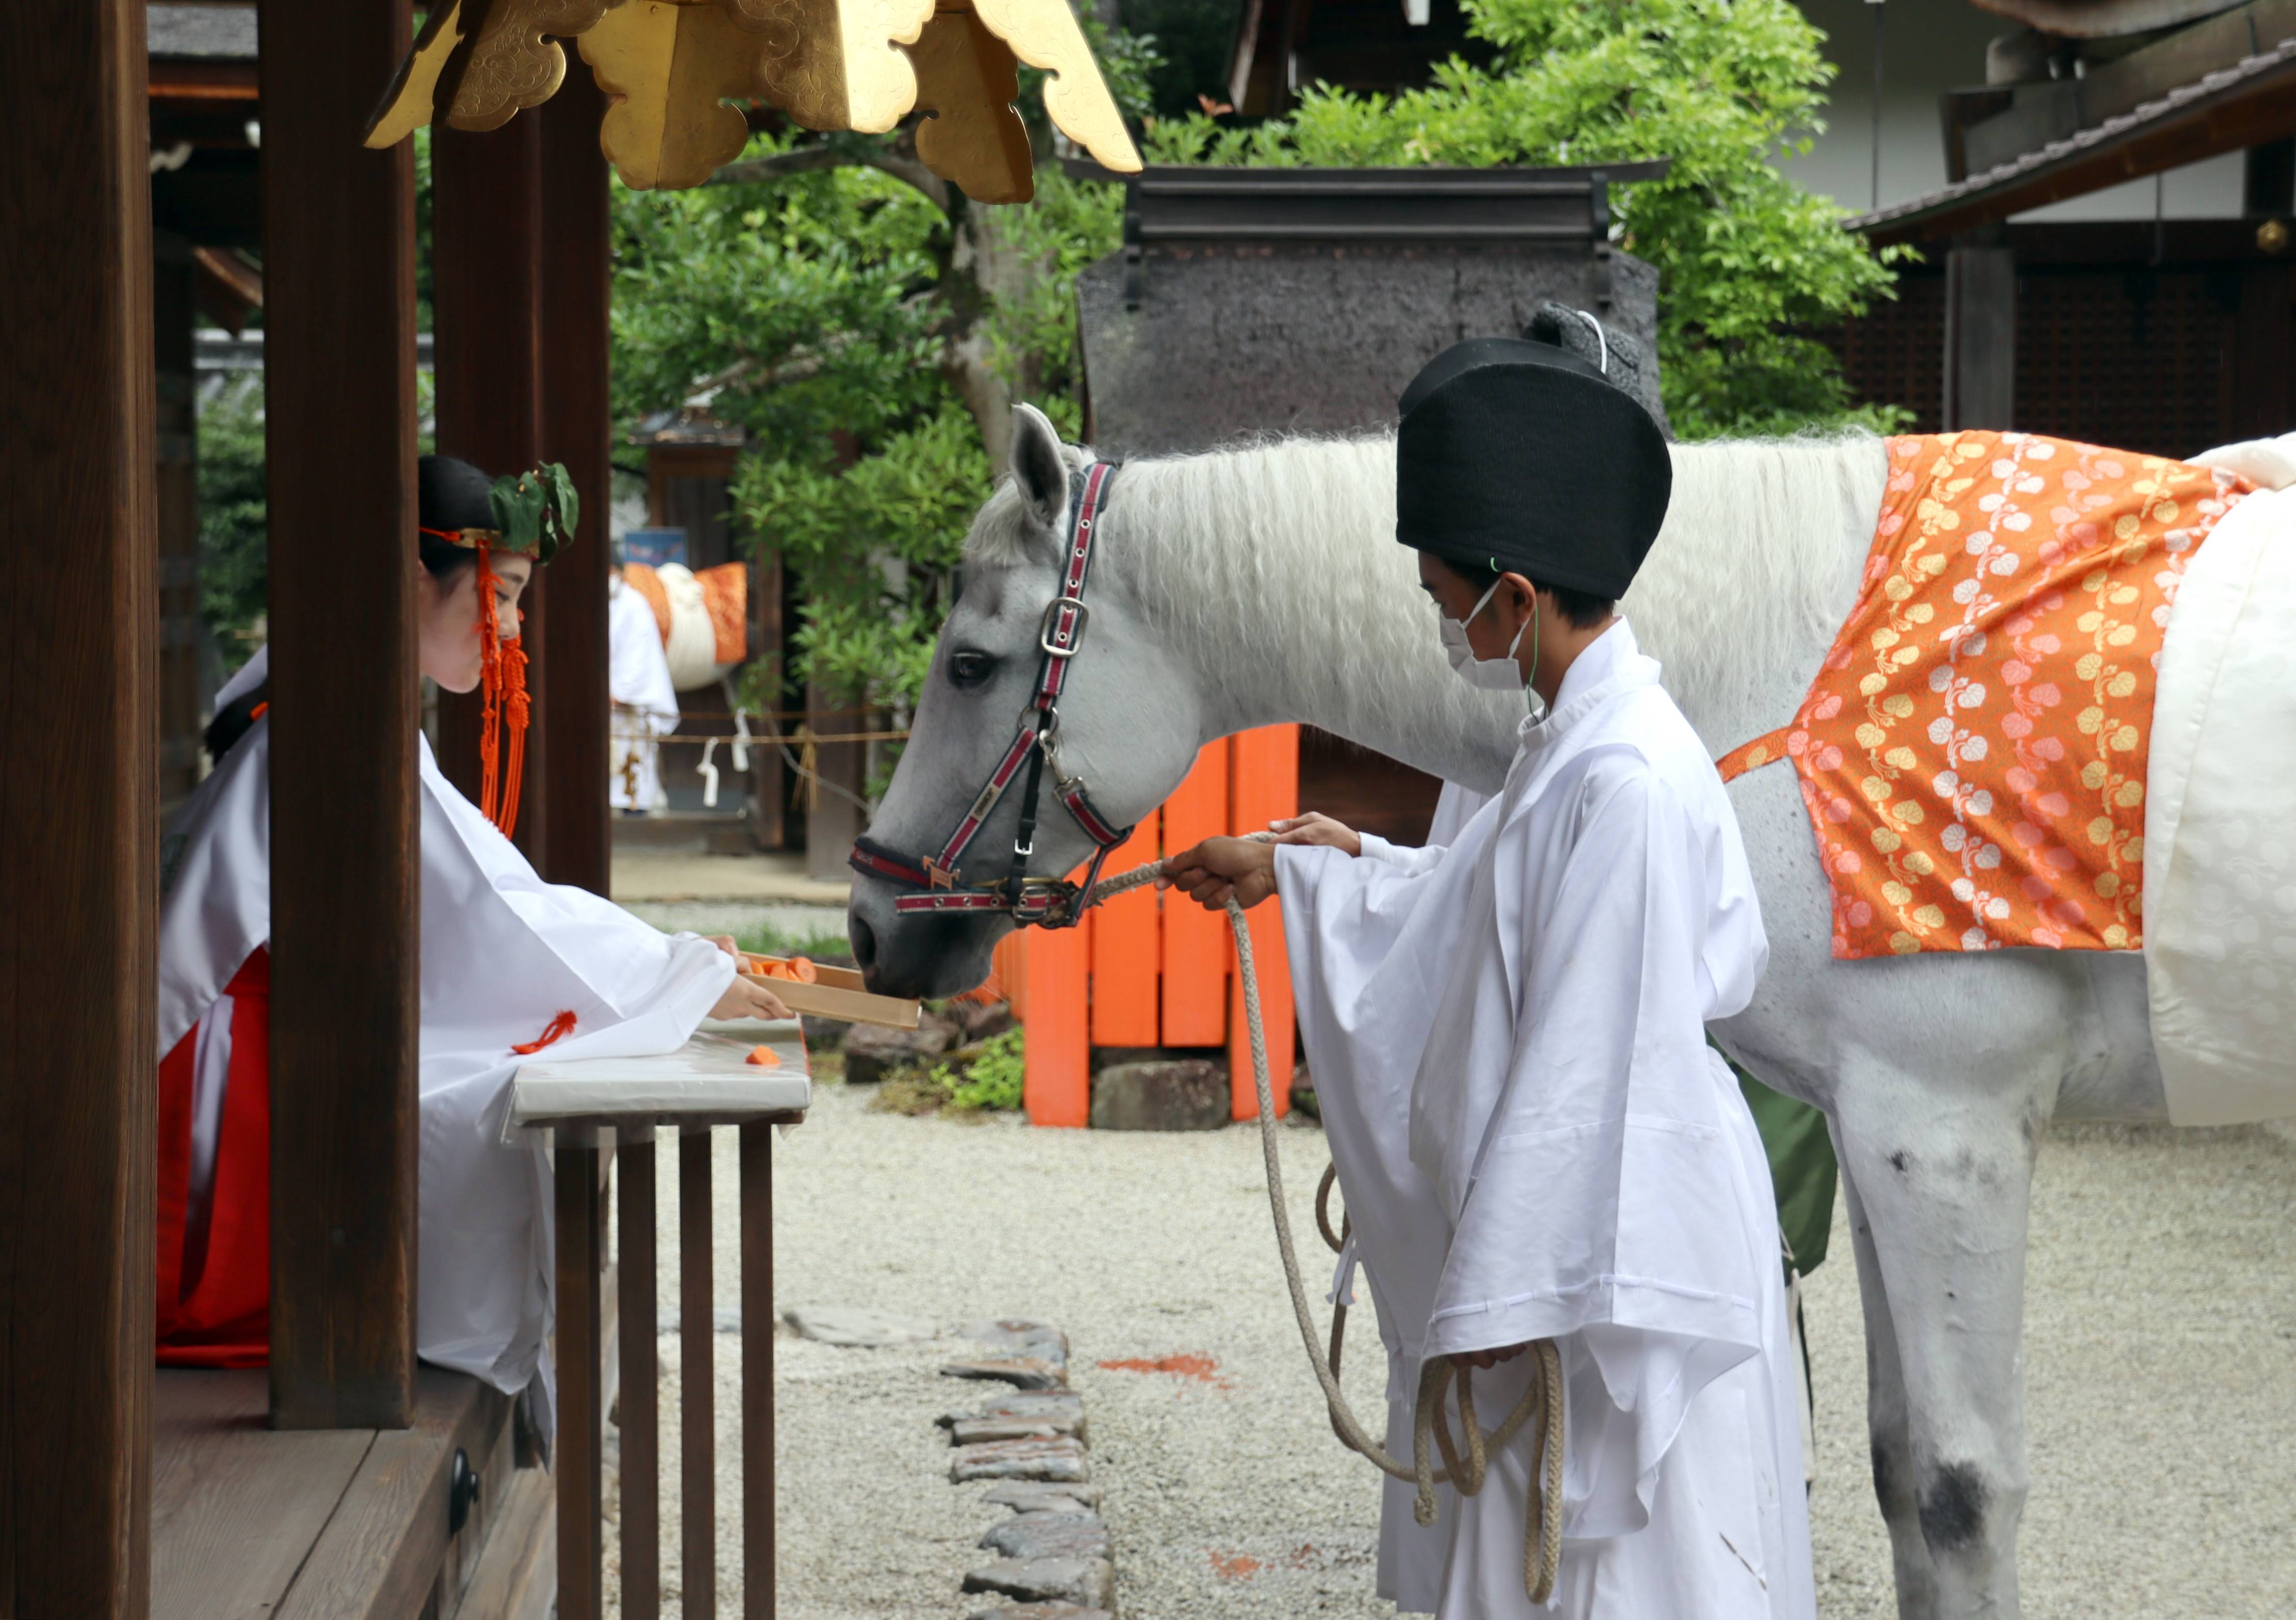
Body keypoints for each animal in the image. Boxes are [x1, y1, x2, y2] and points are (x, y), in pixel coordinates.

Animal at [845, 403, 2204, 1615]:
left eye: (970, 663)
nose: (869, 916)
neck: (1784, 672)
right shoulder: (1883, 1125)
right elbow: (1890, 1463)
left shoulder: (1945, 1120)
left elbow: (1954, 1488)